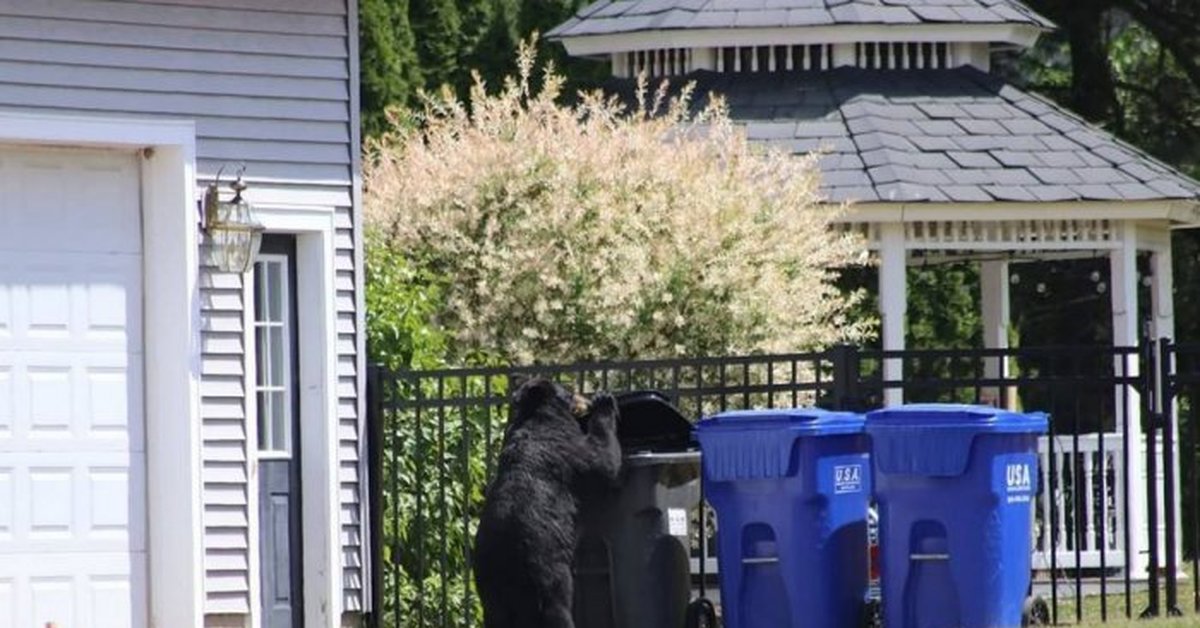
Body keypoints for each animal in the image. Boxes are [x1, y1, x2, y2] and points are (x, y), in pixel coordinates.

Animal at [470, 379, 619, 628]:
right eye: (569, 391)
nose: (584, 398)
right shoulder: (568, 450)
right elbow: (602, 462)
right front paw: (604, 401)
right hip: (547, 568)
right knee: (556, 607)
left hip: (490, 587)